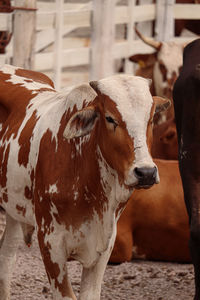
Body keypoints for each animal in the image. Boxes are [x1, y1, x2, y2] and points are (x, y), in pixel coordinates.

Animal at [0, 65, 170, 300]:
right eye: (109, 118)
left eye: (151, 118)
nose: (146, 172)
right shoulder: (51, 244)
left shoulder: (104, 247)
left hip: (14, 209)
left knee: (6, 258)